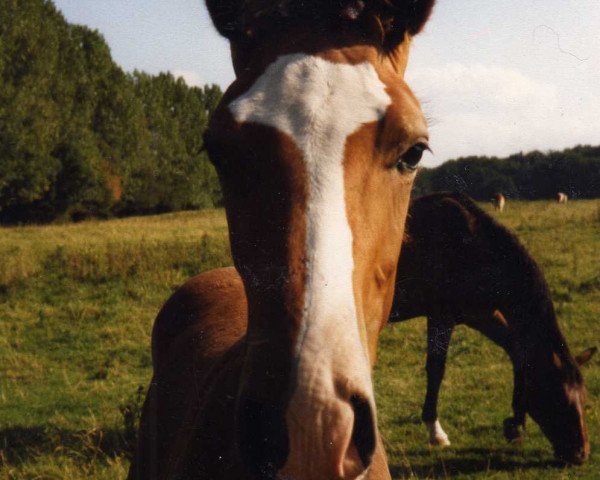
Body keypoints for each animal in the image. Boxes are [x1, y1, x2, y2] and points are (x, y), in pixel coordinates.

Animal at [390, 192, 596, 464]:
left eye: (584, 398)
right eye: (559, 397)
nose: (580, 454)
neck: (470, 244)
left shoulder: (479, 313)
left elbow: (518, 352)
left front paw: (515, 423)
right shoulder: (441, 316)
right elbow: (436, 370)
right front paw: (436, 432)